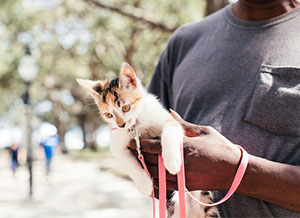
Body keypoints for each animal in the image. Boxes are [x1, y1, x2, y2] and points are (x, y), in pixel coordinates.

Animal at [76, 63, 219, 218]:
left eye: (125, 107)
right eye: (108, 115)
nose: (121, 125)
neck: (137, 126)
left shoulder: (172, 121)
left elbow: (169, 134)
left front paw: (172, 162)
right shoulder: (117, 146)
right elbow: (128, 163)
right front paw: (144, 184)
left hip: (206, 199)